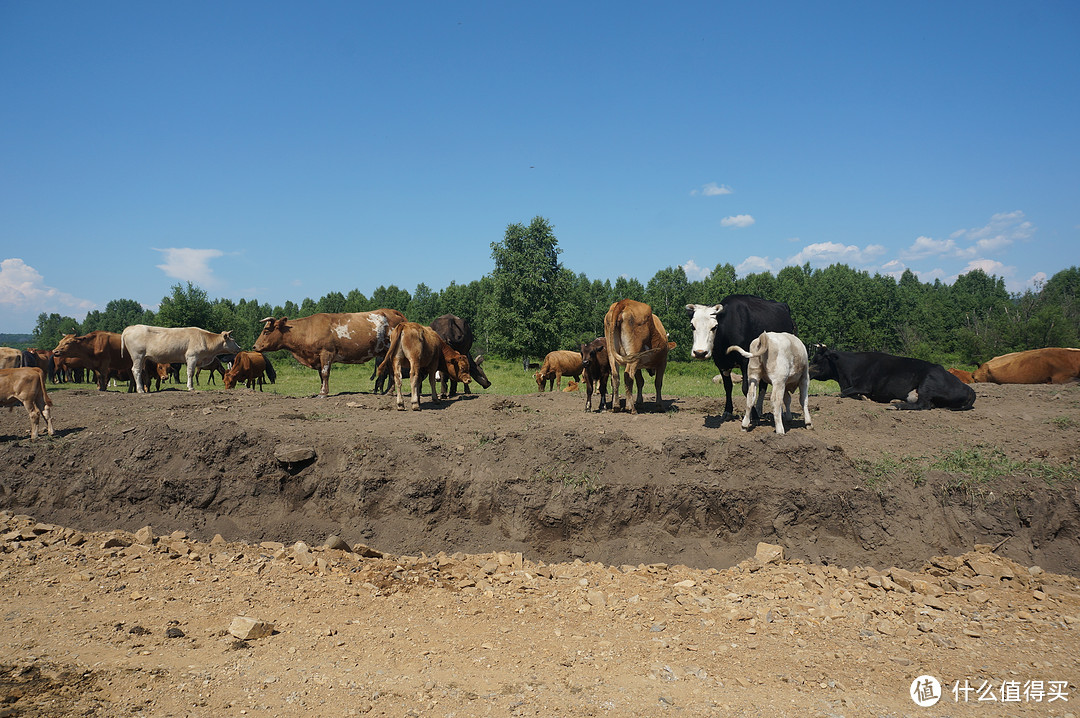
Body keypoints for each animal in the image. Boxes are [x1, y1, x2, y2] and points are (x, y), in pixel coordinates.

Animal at [254, 310, 395, 395]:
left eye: (266, 331)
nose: (255, 346)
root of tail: (392, 312)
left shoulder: (326, 353)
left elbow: (325, 373)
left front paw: (323, 393)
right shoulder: (317, 358)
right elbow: (321, 376)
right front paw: (322, 390)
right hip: (385, 353)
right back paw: (389, 391)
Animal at [812, 345, 980, 412]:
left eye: (817, 360)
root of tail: (968, 388)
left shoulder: (864, 386)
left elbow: (842, 393)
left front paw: (863, 398)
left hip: (928, 381)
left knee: (924, 405)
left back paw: (896, 405)